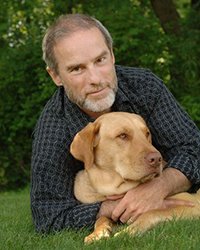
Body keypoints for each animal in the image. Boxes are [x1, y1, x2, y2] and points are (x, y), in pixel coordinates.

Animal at [70, 112, 200, 243]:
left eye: (147, 133)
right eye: (122, 135)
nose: (157, 159)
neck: (114, 187)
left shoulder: (193, 204)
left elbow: (151, 212)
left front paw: (127, 232)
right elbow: (101, 218)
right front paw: (98, 233)